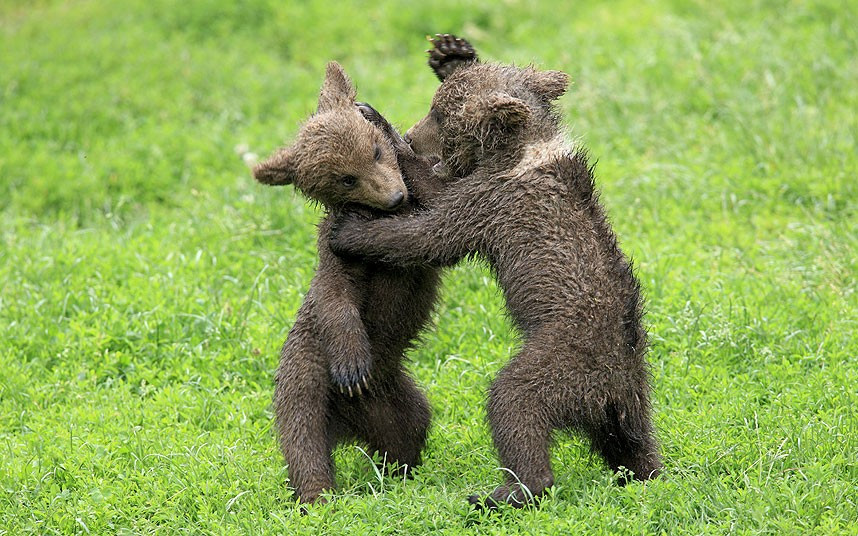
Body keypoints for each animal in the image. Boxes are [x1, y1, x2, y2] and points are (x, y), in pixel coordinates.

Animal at [252, 61, 448, 505]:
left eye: (374, 151)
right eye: (345, 179)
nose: (394, 197)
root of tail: (349, 427)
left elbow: (437, 191)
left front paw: (377, 115)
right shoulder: (336, 256)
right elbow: (336, 295)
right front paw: (352, 366)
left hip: (399, 397)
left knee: (411, 427)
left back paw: (402, 470)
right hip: (304, 377)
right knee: (304, 442)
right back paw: (317, 496)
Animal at [329, 55, 662, 508]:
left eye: (439, 112)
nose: (413, 135)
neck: (520, 151)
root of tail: (615, 383)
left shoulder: (493, 201)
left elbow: (431, 229)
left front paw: (351, 227)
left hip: (564, 359)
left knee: (515, 402)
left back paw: (505, 491)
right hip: (633, 399)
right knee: (635, 444)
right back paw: (649, 474)